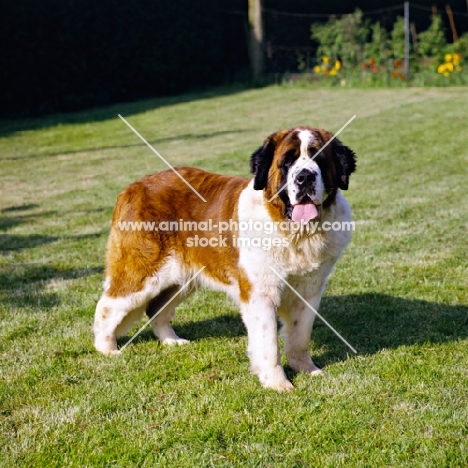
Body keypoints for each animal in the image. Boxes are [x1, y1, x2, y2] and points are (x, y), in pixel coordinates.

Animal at [93, 125, 356, 392]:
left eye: (319, 160)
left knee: (157, 309)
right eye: (287, 162)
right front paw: (277, 382)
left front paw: (307, 369)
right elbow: (268, 343)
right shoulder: (260, 293)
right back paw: (107, 349)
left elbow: (300, 335)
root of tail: (131, 188)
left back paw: (171, 341)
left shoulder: (309, 291)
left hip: (182, 279)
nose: (305, 177)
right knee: (107, 306)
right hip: (144, 273)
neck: (295, 232)